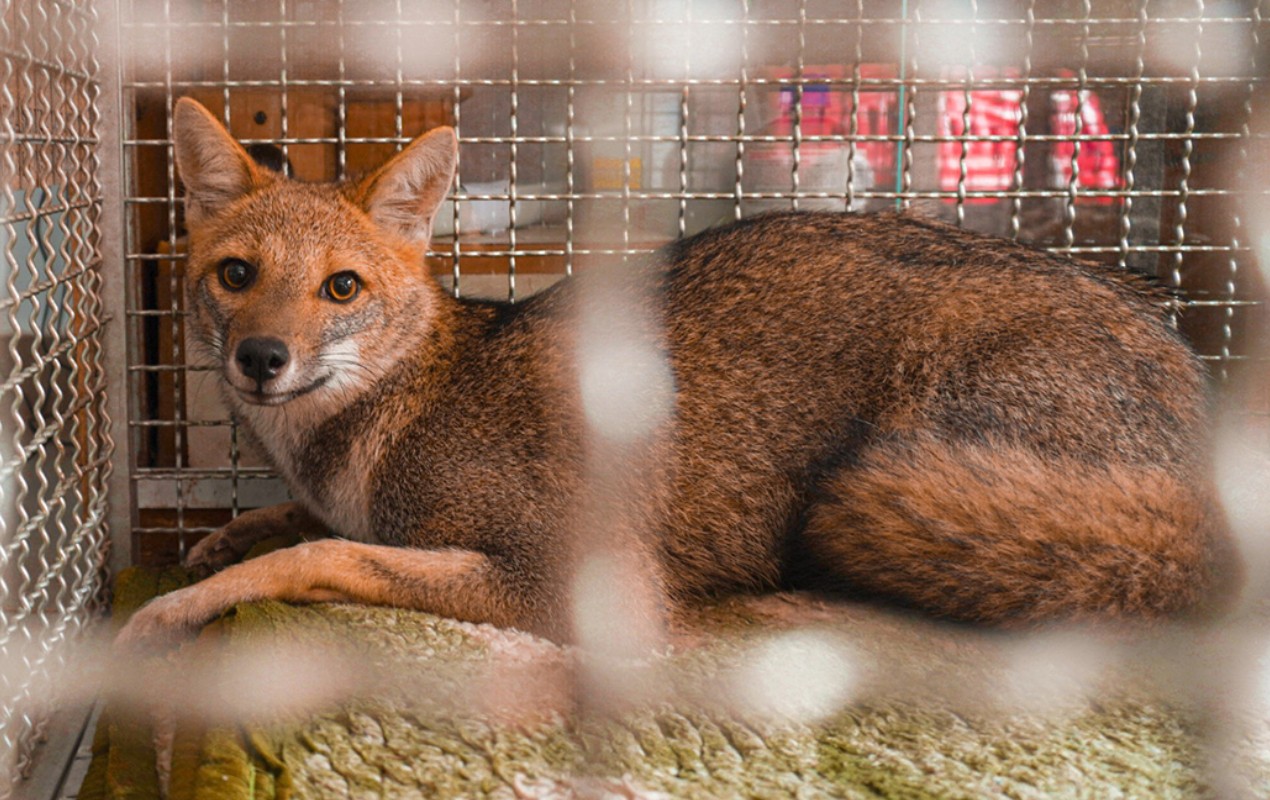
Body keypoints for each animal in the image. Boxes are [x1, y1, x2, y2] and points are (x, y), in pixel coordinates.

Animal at [115, 97, 1235, 650]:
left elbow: (330, 556)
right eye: (236, 275)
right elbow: (305, 526)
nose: (263, 359)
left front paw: (183, 604)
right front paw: (226, 533)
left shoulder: (577, 578)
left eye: (340, 287)